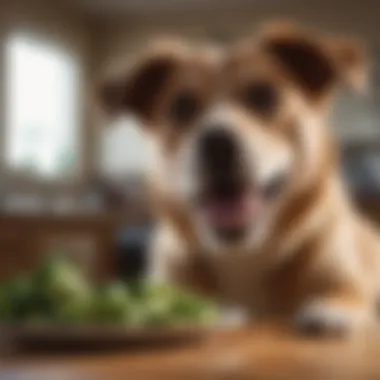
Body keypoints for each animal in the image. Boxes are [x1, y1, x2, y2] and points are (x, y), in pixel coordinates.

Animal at [99, 23, 380, 338]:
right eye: (181, 107)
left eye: (263, 96)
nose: (217, 144)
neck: (242, 255)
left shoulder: (344, 278)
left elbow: (350, 292)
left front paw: (334, 309)